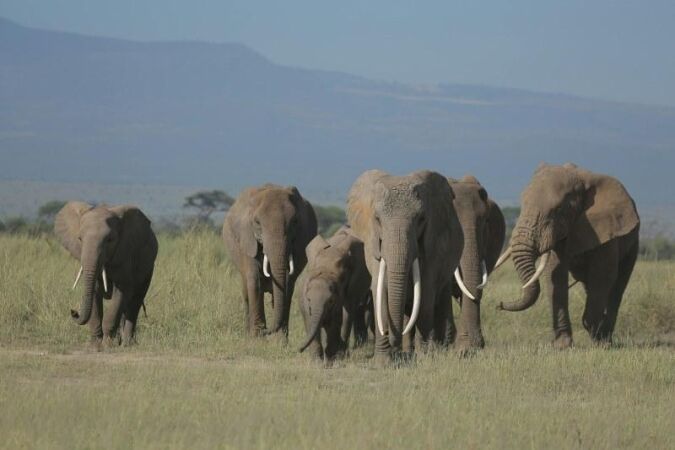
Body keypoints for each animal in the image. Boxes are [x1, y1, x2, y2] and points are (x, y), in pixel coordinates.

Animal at [55, 202, 158, 348]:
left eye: (109, 240)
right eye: (80, 239)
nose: (73, 311)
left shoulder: (125, 255)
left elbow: (120, 293)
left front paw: (108, 344)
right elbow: (94, 293)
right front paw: (95, 344)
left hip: (148, 268)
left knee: (135, 302)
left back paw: (127, 343)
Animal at [222, 184, 317, 339]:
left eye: (295, 222)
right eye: (257, 223)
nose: (265, 330)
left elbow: (287, 286)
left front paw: (279, 341)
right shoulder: (247, 239)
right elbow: (254, 281)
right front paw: (256, 338)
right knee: (247, 292)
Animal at [298, 226, 372, 363]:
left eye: (331, 301)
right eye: (309, 300)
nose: (299, 349)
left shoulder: (351, 287)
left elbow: (338, 319)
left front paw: (334, 357)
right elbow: (311, 321)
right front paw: (317, 361)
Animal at [347, 170, 463, 363]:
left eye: (421, 219)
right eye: (377, 219)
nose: (395, 344)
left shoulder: (432, 245)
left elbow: (425, 294)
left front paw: (424, 358)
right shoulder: (372, 243)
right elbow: (380, 290)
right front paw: (384, 361)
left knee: (438, 298)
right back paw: (408, 351)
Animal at [495, 163, 639, 348]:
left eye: (557, 210)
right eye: (522, 204)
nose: (499, 305)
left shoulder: (607, 230)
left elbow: (603, 275)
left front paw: (598, 340)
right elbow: (555, 275)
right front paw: (562, 346)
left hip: (633, 241)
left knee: (617, 285)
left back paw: (605, 338)